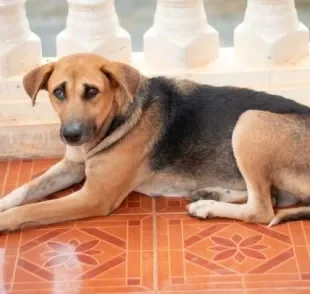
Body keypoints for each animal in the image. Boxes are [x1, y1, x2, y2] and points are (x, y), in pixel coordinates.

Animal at [0, 52, 310, 231]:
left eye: (91, 91)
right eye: (58, 92)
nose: (71, 135)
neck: (118, 117)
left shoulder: (94, 197)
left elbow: (29, 209)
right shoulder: (72, 166)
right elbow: (24, 191)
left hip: (249, 121)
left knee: (262, 209)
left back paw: (208, 206)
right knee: (272, 197)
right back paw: (211, 194)